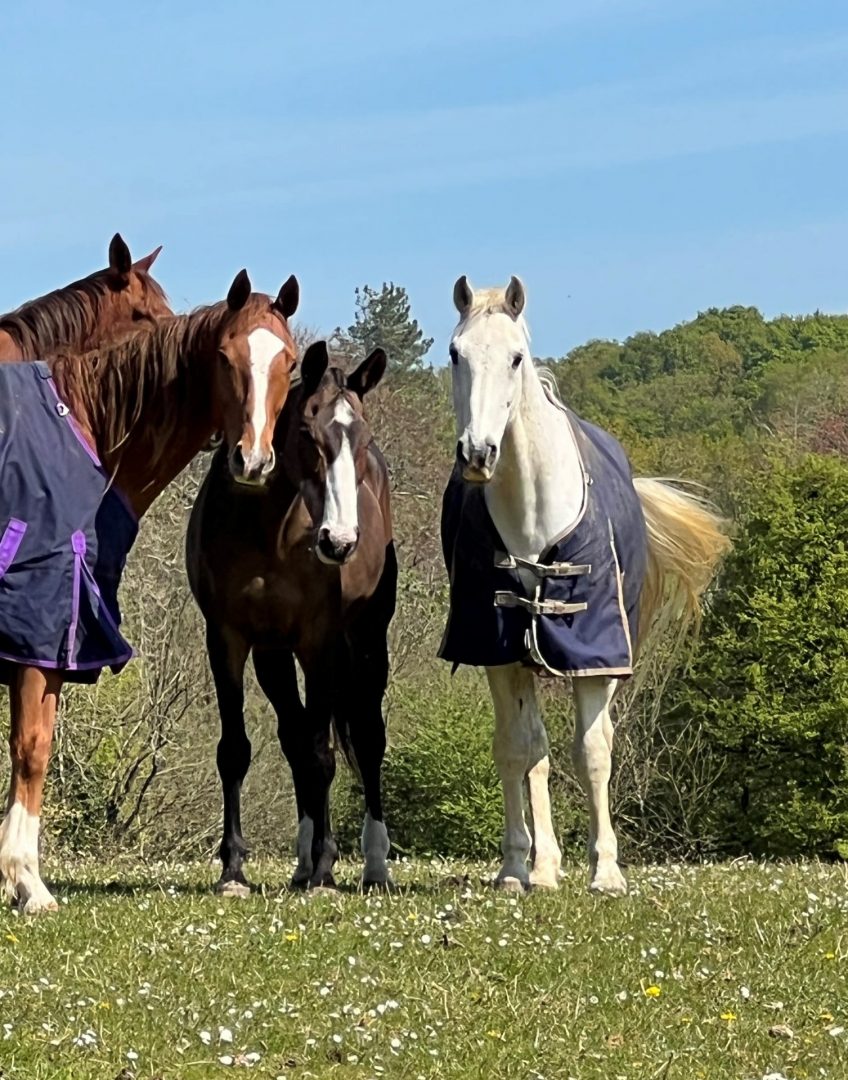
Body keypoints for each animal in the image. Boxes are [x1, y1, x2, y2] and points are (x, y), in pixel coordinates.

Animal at [0, 269, 300, 913]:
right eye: (225, 356)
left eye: (288, 360)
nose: (252, 461)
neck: (83, 431)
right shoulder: (42, 637)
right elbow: (32, 751)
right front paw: (27, 881)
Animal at [186, 340, 395, 895]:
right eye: (306, 432)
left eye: (363, 437)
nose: (339, 542)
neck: (269, 529)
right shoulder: (229, 638)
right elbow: (236, 750)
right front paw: (233, 869)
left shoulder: (319, 640)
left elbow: (323, 754)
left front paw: (326, 868)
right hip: (273, 656)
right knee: (295, 735)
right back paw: (302, 862)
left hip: (367, 641)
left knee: (366, 737)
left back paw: (371, 864)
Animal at [440, 276, 730, 894]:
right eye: (456, 353)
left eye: (516, 357)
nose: (477, 453)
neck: (532, 509)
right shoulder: (499, 651)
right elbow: (518, 752)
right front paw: (515, 868)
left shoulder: (595, 656)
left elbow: (594, 752)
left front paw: (607, 871)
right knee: (534, 751)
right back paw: (541, 867)